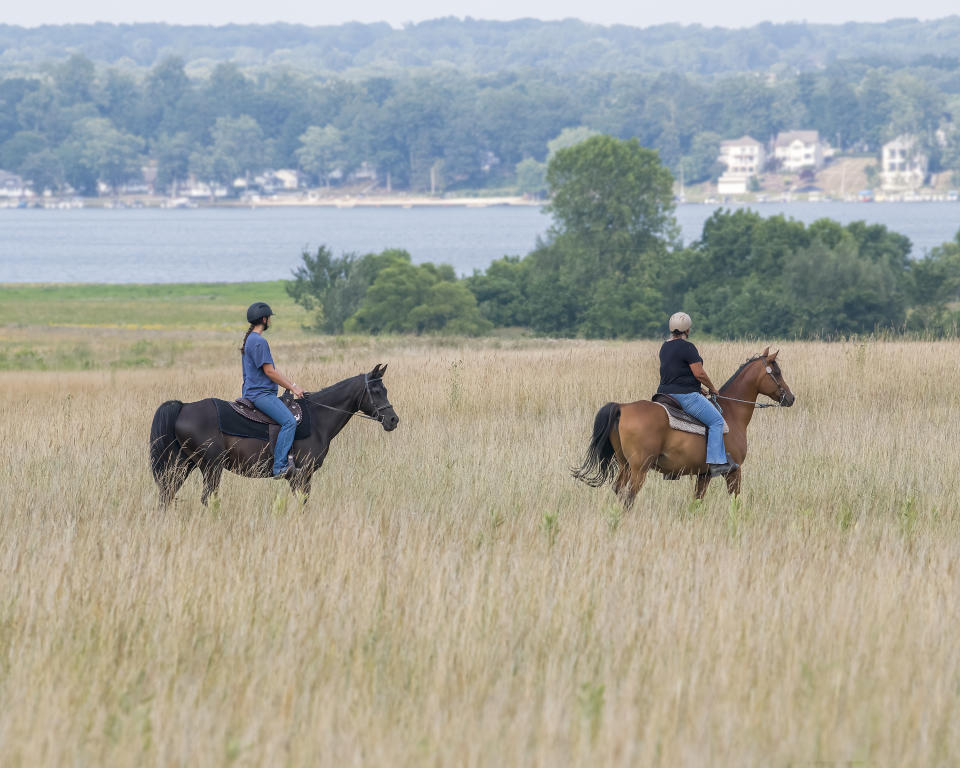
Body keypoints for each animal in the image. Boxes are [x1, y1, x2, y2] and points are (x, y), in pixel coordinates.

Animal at [150, 364, 398, 508]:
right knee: (207, 498)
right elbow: (302, 503)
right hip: (211, 466)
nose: (393, 420)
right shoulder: (301, 475)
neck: (317, 418)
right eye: (376, 391)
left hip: (184, 464)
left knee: (167, 493)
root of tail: (183, 407)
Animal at [572, 350, 792, 508]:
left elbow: (697, 502)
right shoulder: (734, 470)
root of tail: (622, 407)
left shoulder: (704, 474)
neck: (731, 411)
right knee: (629, 496)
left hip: (625, 465)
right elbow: (735, 500)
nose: (791, 398)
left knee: (619, 490)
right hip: (639, 469)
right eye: (777, 373)